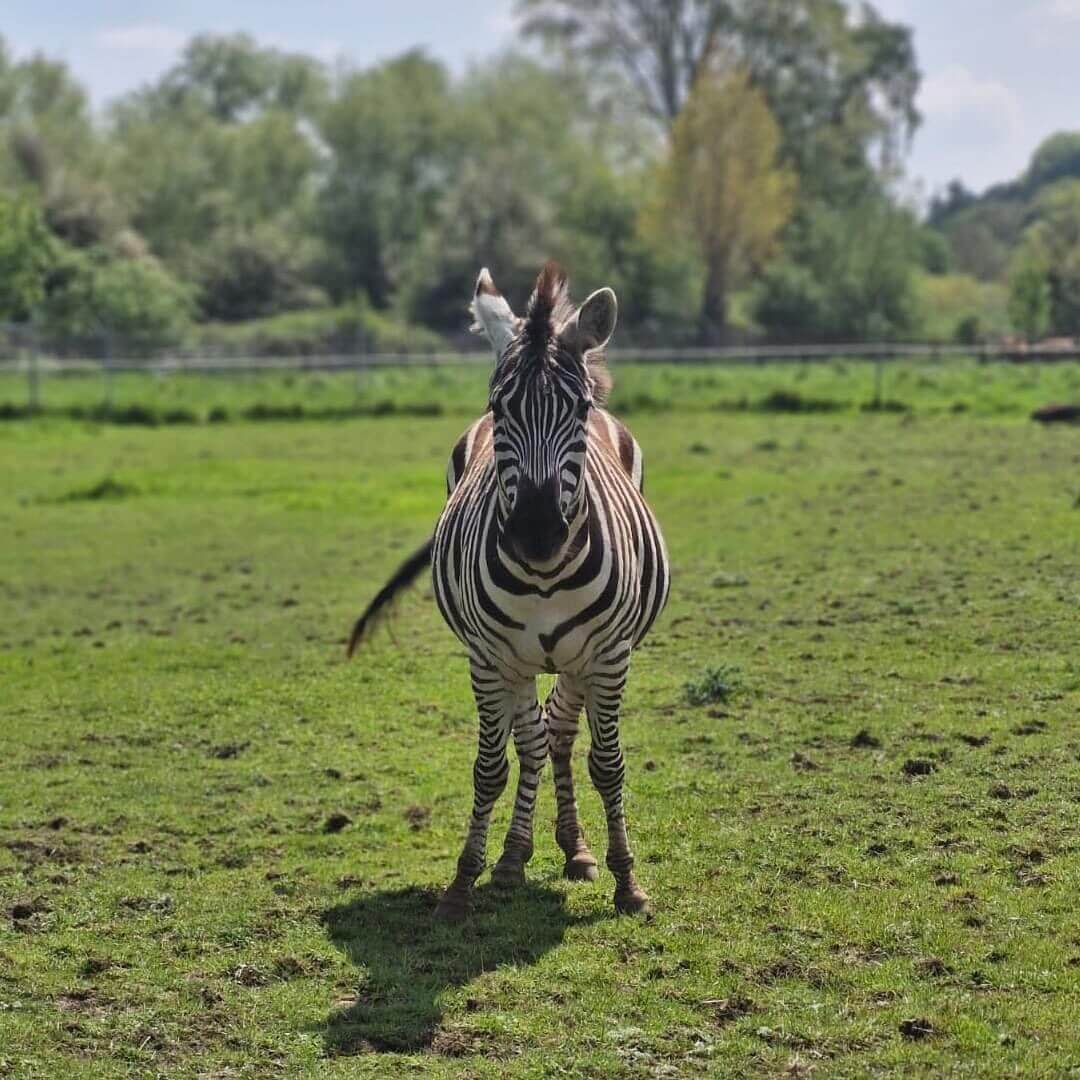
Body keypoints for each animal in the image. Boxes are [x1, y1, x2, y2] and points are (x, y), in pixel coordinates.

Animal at [347, 263, 665, 920]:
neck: (545, 573)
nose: (537, 533)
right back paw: (515, 857)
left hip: (581, 658)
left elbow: (608, 764)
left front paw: (628, 882)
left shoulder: (610, 654)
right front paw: (463, 880)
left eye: (578, 408)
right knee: (536, 739)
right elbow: (490, 767)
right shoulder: (489, 658)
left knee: (560, 732)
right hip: (517, 662)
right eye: (500, 407)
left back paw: (576, 850)